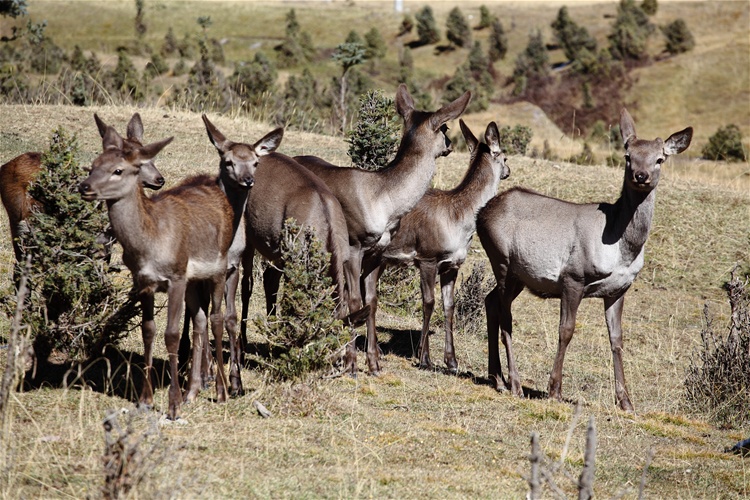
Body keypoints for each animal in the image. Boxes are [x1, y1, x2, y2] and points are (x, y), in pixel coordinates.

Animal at [78, 122, 234, 422]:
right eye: (93, 165)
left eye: (118, 170)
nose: (85, 186)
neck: (149, 245)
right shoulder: (144, 281)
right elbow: (148, 331)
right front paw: (145, 400)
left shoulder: (175, 276)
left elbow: (171, 335)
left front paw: (172, 406)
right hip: (193, 281)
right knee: (200, 319)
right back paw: (192, 392)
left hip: (219, 268)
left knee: (217, 318)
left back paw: (221, 391)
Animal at [294, 83, 470, 376]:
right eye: (445, 127)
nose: (450, 145)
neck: (384, 201)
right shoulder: (353, 245)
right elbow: (355, 301)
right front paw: (352, 363)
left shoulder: (378, 253)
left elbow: (372, 301)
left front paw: (374, 362)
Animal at [378, 120, 516, 372]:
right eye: (505, 156)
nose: (508, 171)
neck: (457, 221)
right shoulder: (427, 257)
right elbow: (429, 303)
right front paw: (424, 358)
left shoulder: (452, 265)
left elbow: (449, 306)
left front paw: (451, 361)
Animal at [478, 109, 696, 410]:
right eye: (628, 155)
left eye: (660, 158)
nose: (641, 175)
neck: (622, 248)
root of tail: (482, 212)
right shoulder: (573, 276)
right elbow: (566, 330)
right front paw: (554, 390)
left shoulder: (619, 289)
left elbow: (617, 338)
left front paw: (625, 401)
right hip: (500, 260)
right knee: (504, 315)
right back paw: (515, 384)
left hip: (518, 275)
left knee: (490, 302)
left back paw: (497, 378)